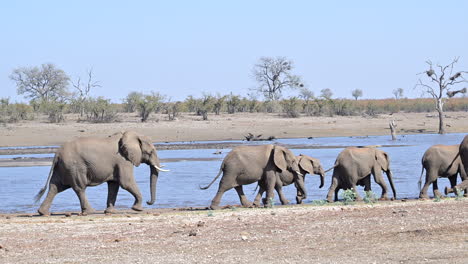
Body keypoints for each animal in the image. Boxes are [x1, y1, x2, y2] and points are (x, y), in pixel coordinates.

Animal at [35, 131, 170, 216]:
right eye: (151, 152)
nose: (148, 202)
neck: (131, 135)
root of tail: (57, 153)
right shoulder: (123, 160)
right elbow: (126, 182)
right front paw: (138, 209)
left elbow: (114, 185)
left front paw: (111, 212)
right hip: (75, 166)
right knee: (79, 188)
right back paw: (90, 211)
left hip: (63, 167)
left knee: (55, 187)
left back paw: (43, 213)